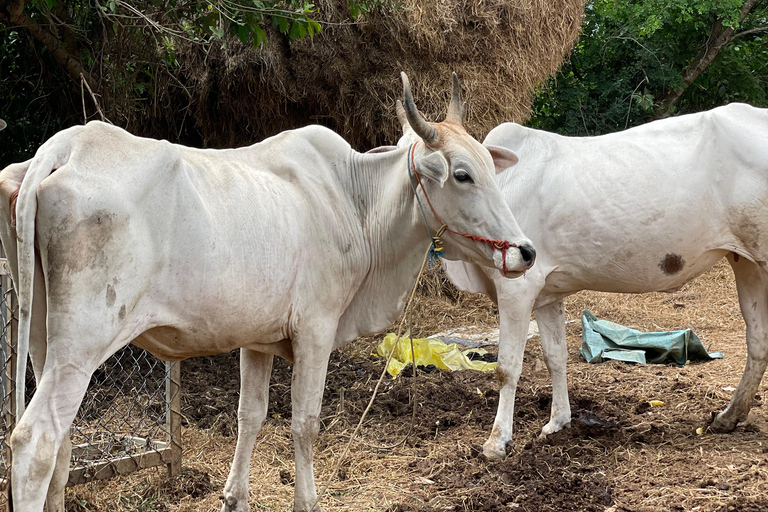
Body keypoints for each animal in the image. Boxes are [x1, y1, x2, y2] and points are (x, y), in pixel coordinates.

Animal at [0, 73, 536, 512]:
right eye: (462, 174)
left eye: (490, 167)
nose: (526, 252)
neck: (354, 201)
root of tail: (67, 146)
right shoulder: (316, 329)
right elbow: (305, 422)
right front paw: (308, 501)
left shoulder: (255, 338)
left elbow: (250, 416)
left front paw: (234, 497)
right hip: (81, 344)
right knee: (34, 441)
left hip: (43, 337)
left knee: (61, 444)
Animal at [432, 103, 768, 460]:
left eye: (460, 175)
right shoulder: (547, 294)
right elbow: (555, 356)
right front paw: (558, 422)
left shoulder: (517, 287)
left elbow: (507, 367)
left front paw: (497, 441)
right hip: (748, 263)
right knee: (758, 340)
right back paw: (728, 417)